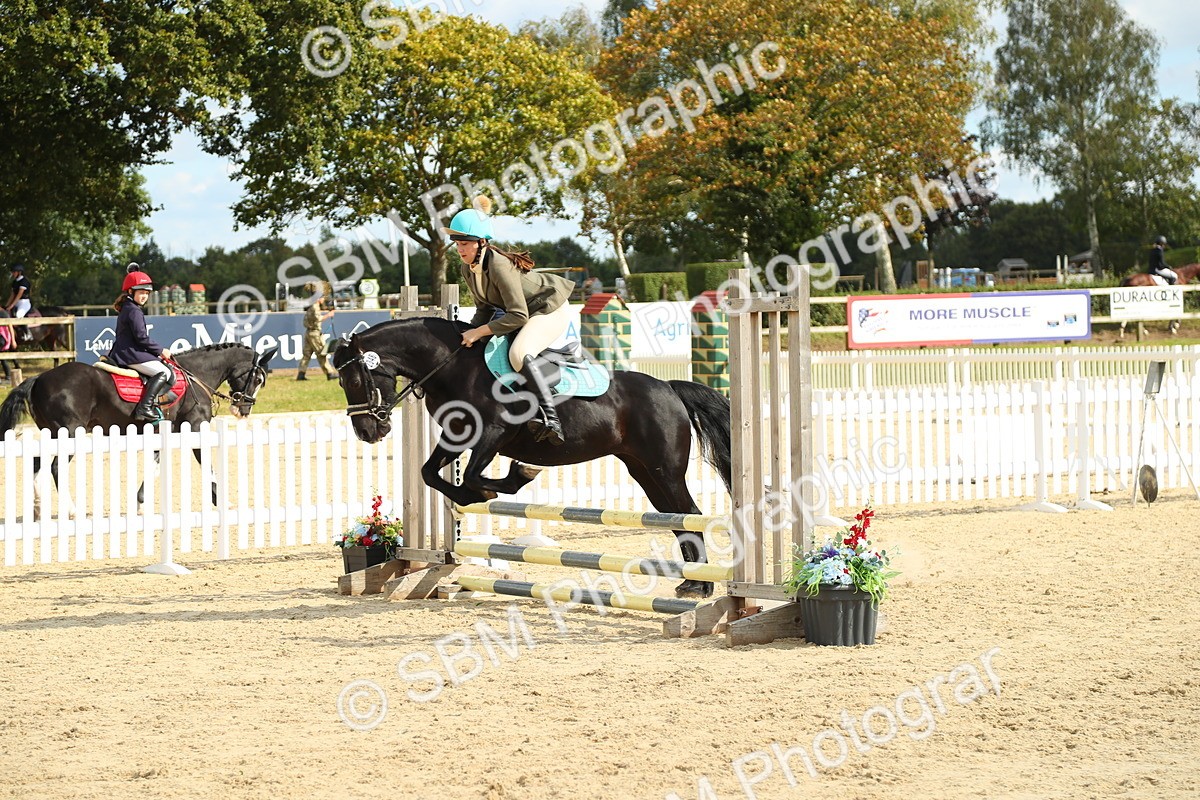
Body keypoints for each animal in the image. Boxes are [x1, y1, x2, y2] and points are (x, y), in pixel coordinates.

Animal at [0, 343, 277, 509]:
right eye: (257, 379)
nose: (244, 409)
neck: (195, 376)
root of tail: (38, 378)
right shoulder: (195, 427)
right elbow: (206, 463)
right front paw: (220, 501)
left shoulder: (165, 432)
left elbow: (154, 466)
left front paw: (140, 503)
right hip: (69, 433)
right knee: (56, 467)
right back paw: (71, 510)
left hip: (52, 434)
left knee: (38, 464)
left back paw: (37, 507)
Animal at [330, 318, 733, 599]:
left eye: (354, 380)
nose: (367, 432)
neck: (450, 366)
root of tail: (669, 388)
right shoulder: (456, 436)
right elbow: (430, 472)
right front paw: (469, 498)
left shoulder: (493, 433)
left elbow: (474, 475)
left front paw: (509, 480)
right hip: (643, 470)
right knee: (676, 519)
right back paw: (691, 584)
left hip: (665, 469)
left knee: (690, 514)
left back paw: (702, 587)